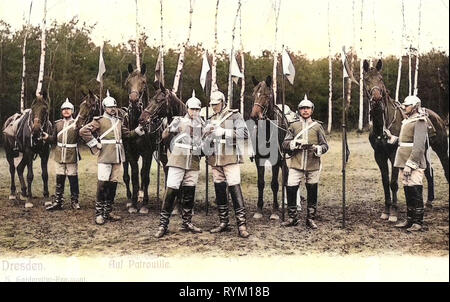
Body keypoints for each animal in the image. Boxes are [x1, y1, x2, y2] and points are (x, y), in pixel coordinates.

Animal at [248, 75, 290, 221]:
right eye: (254, 94)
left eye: (266, 95)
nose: (254, 116)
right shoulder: (259, 159)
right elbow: (261, 183)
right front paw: (259, 209)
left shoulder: (276, 160)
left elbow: (274, 184)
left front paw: (275, 211)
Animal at [364, 58, 448, 222]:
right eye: (366, 79)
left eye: (381, 79)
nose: (376, 99)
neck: (382, 126)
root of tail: (438, 117)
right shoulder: (379, 155)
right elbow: (385, 182)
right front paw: (386, 210)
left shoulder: (394, 154)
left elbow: (393, 183)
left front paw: (394, 213)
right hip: (422, 151)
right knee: (429, 172)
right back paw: (429, 202)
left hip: (441, 149)